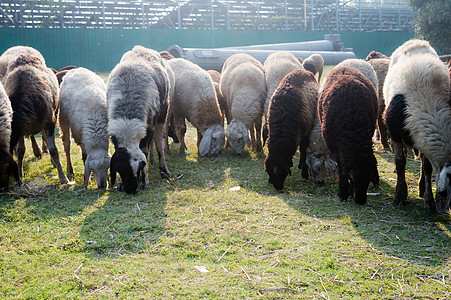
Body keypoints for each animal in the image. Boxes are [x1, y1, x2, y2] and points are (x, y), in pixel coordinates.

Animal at [2, 54, 69, 184]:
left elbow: (53, 149)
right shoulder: (20, 130)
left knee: (45, 139)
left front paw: (63, 177)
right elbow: (20, 150)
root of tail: (24, 55)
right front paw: (20, 174)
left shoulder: (50, 122)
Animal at [107, 45, 171, 195]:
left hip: (162, 114)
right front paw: (121, 184)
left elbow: (145, 151)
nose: (131, 190)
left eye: (136, 170)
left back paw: (163, 170)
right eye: (119, 171)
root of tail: (141, 48)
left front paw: (144, 181)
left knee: (158, 143)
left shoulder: (149, 126)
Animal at [318, 66, 382, 204]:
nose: (360, 200)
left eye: (369, 180)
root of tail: (344, 67)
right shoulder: (334, 146)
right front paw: (343, 192)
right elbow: (342, 169)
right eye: (352, 179)